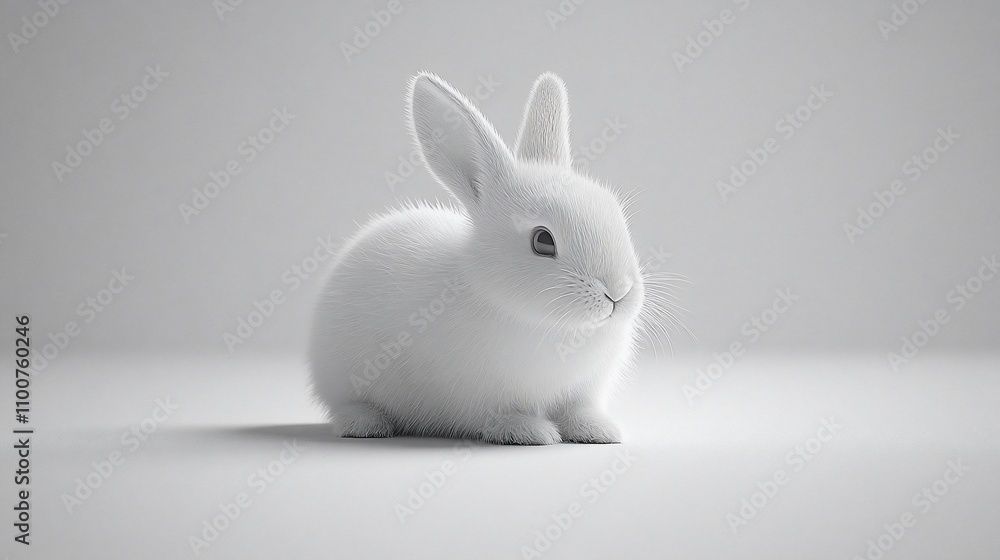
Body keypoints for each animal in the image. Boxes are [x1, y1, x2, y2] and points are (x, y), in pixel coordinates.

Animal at [309, 71, 666, 445]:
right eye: (543, 241)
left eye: (615, 212)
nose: (618, 293)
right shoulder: (478, 398)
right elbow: (499, 417)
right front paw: (531, 431)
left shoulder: (582, 391)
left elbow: (576, 410)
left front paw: (599, 431)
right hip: (341, 380)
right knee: (346, 406)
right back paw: (366, 424)